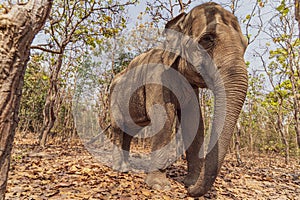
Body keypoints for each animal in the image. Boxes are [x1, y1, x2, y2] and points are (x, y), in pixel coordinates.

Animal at [108, 1, 248, 198]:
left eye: (246, 45)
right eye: (207, 39)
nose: (189, 191)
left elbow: (194, 122)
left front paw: (190, 181)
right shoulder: (157, 77)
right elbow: (165, 118)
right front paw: (159, 185)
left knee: (129, 130)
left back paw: (128, 167)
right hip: (114, 98)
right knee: (118, 127)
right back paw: (120, 168)